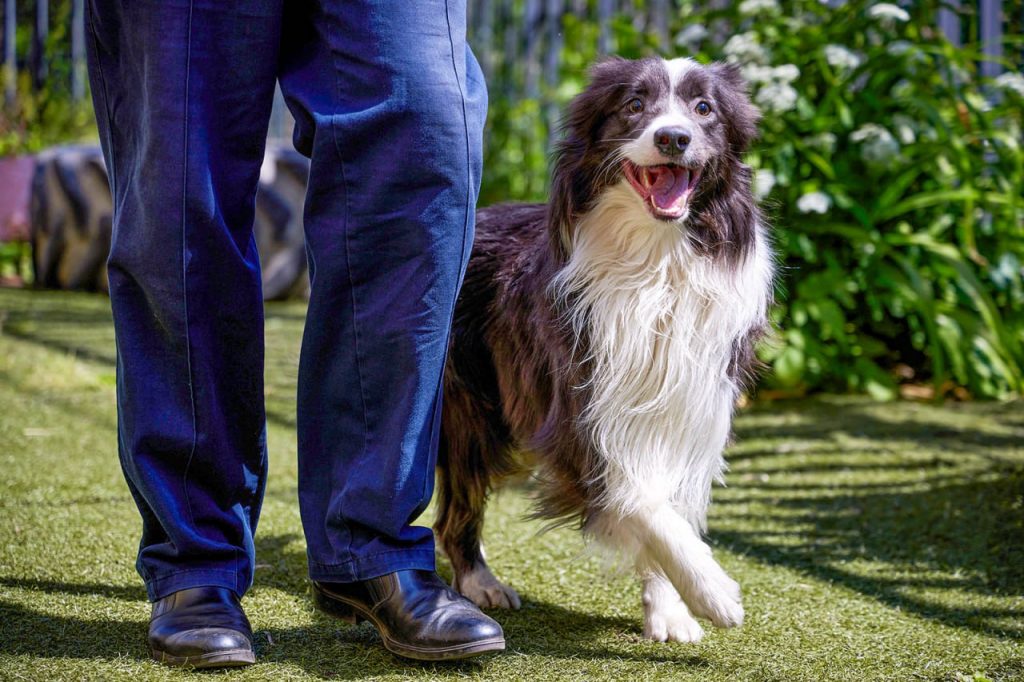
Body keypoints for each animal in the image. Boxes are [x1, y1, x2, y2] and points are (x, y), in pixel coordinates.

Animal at [434, 55, 774, 638]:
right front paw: (713, 592)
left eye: (704, 108)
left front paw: (670, 608)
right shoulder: (578, 408)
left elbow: (667, 499)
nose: (674, 137)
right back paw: (480, 582)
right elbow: (637, 494)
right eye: (634, 104)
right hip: (468, 408)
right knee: (456, 503)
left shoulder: (690, 407)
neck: (657, 262)